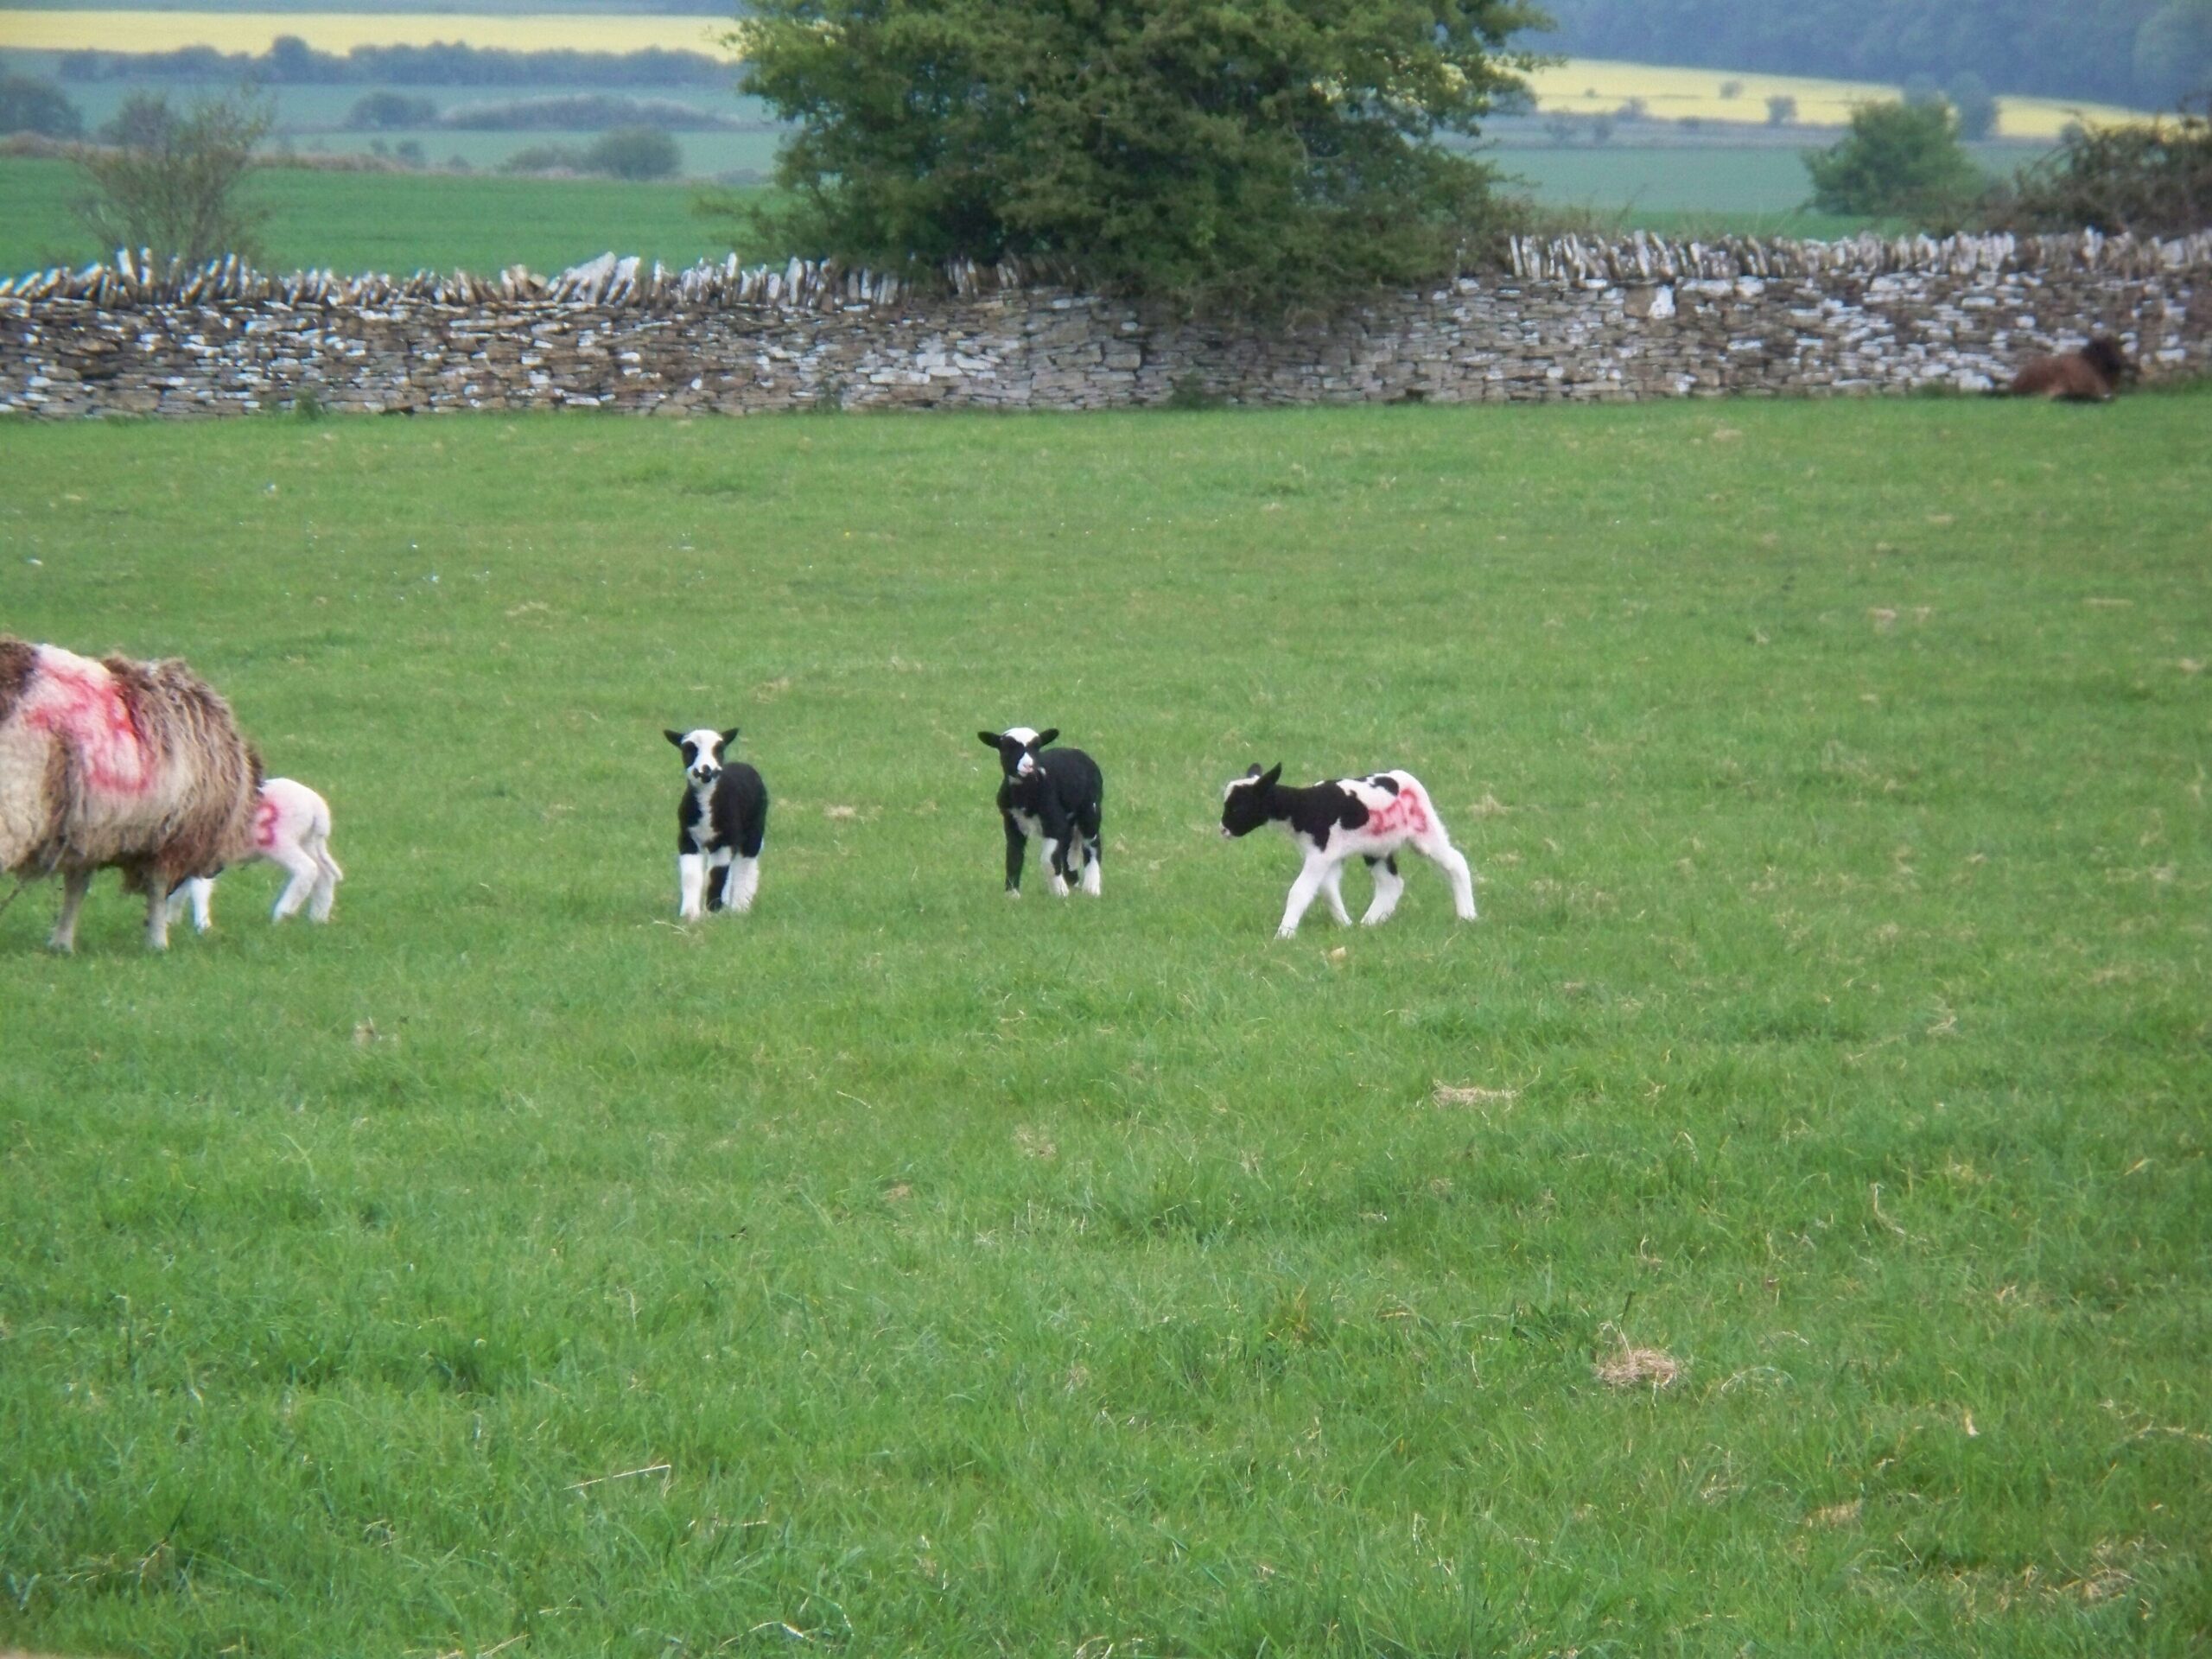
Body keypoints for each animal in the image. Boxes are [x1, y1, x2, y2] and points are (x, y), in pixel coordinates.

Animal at [0, 637, 260, 952]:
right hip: (12, 798)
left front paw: (62, 942)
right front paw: (158, 943)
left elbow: (76, 886)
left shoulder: (88, 830)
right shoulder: (168, 836)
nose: (216, 870)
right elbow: (157, 890)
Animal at [166, 777, 343, 931]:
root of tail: (317, 806)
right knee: (325, 875)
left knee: (307, 869)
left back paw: (282, 914)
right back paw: (318, 919)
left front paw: (203, 927)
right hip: (308, 841)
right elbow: (179, 893)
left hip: (281, 841)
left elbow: (198, 890)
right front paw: (172, 922)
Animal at [1220, 764, 1477, 938]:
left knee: (1456, 862)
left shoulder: (1320, 854)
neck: (1302, 808)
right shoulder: (1329, 855)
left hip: (1424, 830)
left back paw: (1467, 915)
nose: (1223, 829)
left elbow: (1300, 891)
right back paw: (1369, 923)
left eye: (1239, 806)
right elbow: (1327, 889)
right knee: (1391, 883)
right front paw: (1345, 925)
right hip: (1377, 848)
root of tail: (1402, 776)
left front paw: (1284, 934)